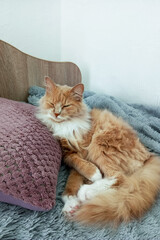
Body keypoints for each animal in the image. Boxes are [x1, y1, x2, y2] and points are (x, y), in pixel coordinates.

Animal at [36, 77, 160, 227]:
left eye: (66, 106)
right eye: (52, 103)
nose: (56, 113)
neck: (66, 125)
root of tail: (148, 156)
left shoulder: (80, 152)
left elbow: (81, 169)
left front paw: (94, 175)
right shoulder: (68, 154)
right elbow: (72, 181)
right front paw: (71, 204)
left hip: (100, 142)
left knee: (120, 178)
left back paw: (87, 191)